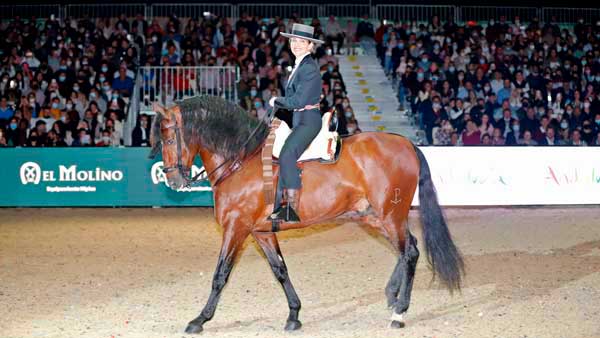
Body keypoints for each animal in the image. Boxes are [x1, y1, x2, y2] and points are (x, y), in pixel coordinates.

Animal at [150, 94, 464, 332]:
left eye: (168, 140)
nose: (173, 181)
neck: (241, 160)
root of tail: (407, 144)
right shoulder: (261, 232)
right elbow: (280, 270)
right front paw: (294, 314)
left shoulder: (235, 228)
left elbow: (220, 274)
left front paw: (199, 320)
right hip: (374, 217)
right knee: (408, 248)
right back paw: (391, 295)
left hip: (390, 216)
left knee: (409, 252)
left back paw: (399, 312)